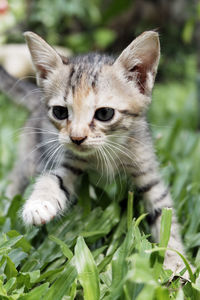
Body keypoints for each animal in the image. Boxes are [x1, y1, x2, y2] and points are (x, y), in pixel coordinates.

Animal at [8, 31, 186, 276]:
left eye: (104, 114)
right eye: (60, 112)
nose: (76, 138)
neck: (106, 153)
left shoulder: (147, 170)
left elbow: (164, 215)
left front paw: (177, 265)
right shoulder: (69, 162)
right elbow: (53, 180)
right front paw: (39, 204)